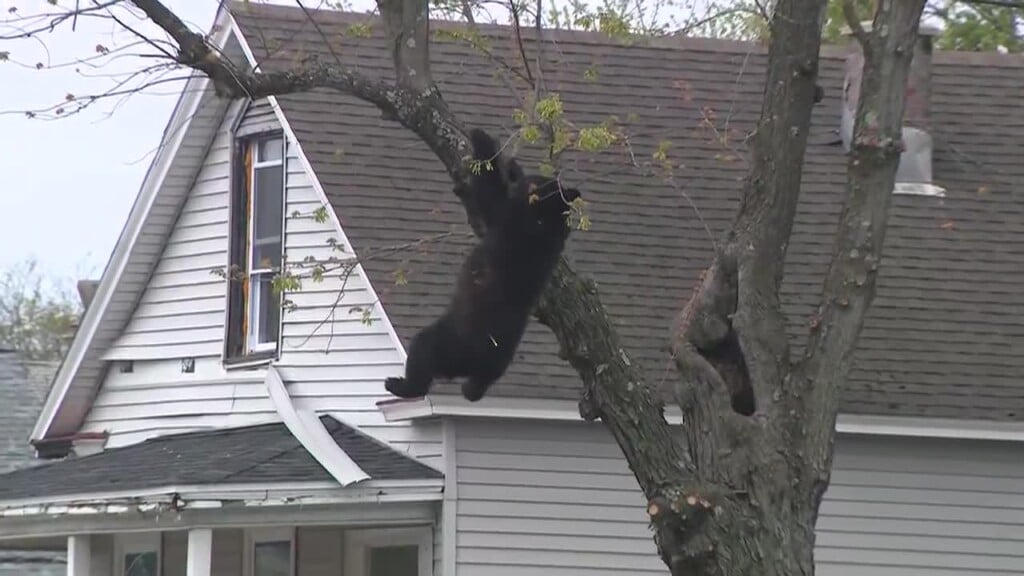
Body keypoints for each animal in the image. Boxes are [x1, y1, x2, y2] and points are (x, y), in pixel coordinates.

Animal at [384, 127, 582, 402]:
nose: (529, 177)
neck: (545, 221)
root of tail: (476, 364)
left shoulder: (510, 221)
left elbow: (489, 195)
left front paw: (482, 138)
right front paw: (511, 165)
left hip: (449, 340)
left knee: (422, 351)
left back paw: (400, 384)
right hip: (488, 362)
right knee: (478, 382)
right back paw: (471, 389)